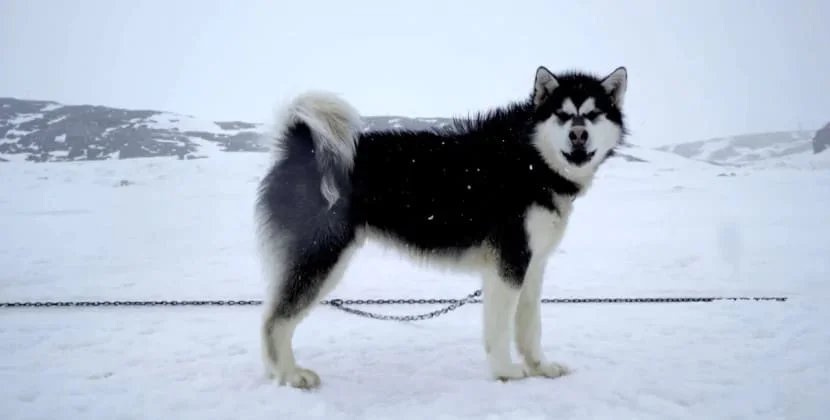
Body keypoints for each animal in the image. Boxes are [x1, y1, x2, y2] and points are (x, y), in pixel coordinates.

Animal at [256, 65, 628, 390]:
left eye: (593, 114)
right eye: (562, 115)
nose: (578, 134)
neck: (532, 160)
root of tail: (300, 146)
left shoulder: (532, 265)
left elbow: (530, 326)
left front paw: (540, 368)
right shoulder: (509, 264)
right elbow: (499, 328)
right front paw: (505, 371)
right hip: (322, 256)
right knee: (275, 320)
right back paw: (290, 375)